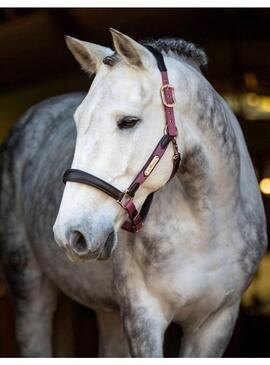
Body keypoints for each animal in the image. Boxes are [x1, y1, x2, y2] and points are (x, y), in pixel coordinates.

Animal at [0, 30, 268, 356]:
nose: (71, 234)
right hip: (29, 288)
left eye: (128, 121)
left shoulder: (216, 322)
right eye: (78, 121)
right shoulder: (144, 317)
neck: (208, 228)